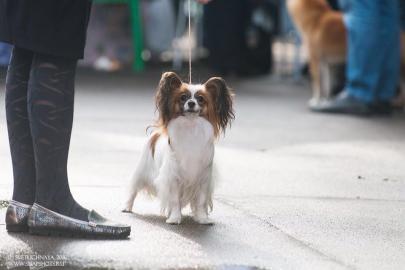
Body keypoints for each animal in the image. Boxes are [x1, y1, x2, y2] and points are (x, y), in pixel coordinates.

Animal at [122, 71, 234, 224]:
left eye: (200, 99)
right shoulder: (173, 177)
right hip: (142, 171)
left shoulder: (203, 179)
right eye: (183, 98)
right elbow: (174, 200)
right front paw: (174, 218)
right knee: (133, 189)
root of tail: (156, 133)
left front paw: (202, 218)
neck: (191, 127)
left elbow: (201, 201)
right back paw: (127, 207)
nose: (191, 103)